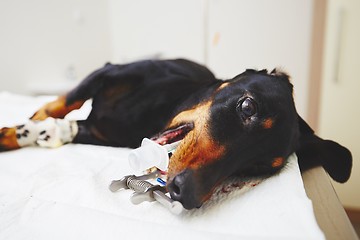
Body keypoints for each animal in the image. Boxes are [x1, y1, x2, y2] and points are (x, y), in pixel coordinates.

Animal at [0, 58, 352, 210]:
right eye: (247, 107)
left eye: (260, 168)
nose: (186, 194)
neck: (157, 115)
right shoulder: (108, 71)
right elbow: (62, 102)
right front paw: (24, 127)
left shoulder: (96, 133)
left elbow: (63, 125)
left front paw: (28, 132)